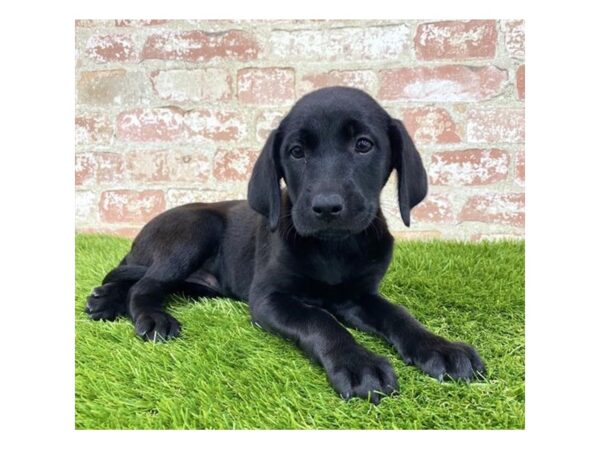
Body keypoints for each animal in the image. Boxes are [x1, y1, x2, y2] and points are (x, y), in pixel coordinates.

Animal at [86, 86, 486, 402]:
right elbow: (320, 319)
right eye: (296, 152)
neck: (334, 248)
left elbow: (399, 315)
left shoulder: (360, 295)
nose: (326, 206)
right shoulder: (268, 298)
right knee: (144, 284)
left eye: (363, 145)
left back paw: (105, 300)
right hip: (194, 229)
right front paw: (358, 364)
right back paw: (150, 317)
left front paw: (440, 348)